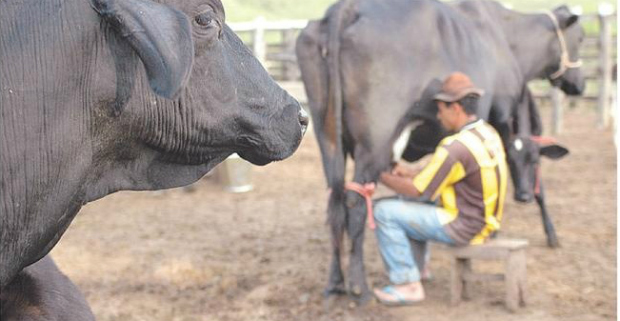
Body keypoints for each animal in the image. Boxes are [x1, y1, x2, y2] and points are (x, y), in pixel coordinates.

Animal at [298, 0, 584, 302]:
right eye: (580, 38)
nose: (579, 84)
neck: (506, 38)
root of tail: (346, 8)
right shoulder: (500, 116)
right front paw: (538, 233)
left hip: (327, 138)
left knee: (335, 202)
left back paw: (334, 284)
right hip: (375, 141)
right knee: (355, 203)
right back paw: (359, 288)